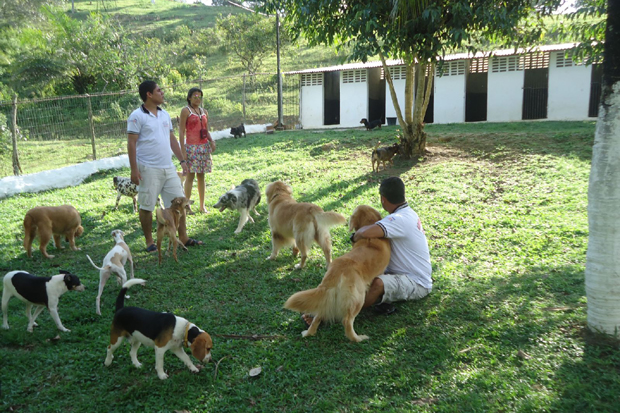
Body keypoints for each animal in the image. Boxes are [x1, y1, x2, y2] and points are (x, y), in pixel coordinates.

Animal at [284, 205, 390, 342]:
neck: (369, 231)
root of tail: (336, 270)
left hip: (328, 297)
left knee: (319, 315)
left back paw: (308, 332)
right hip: (358, 298)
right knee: (347, 321)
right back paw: (358, 338)